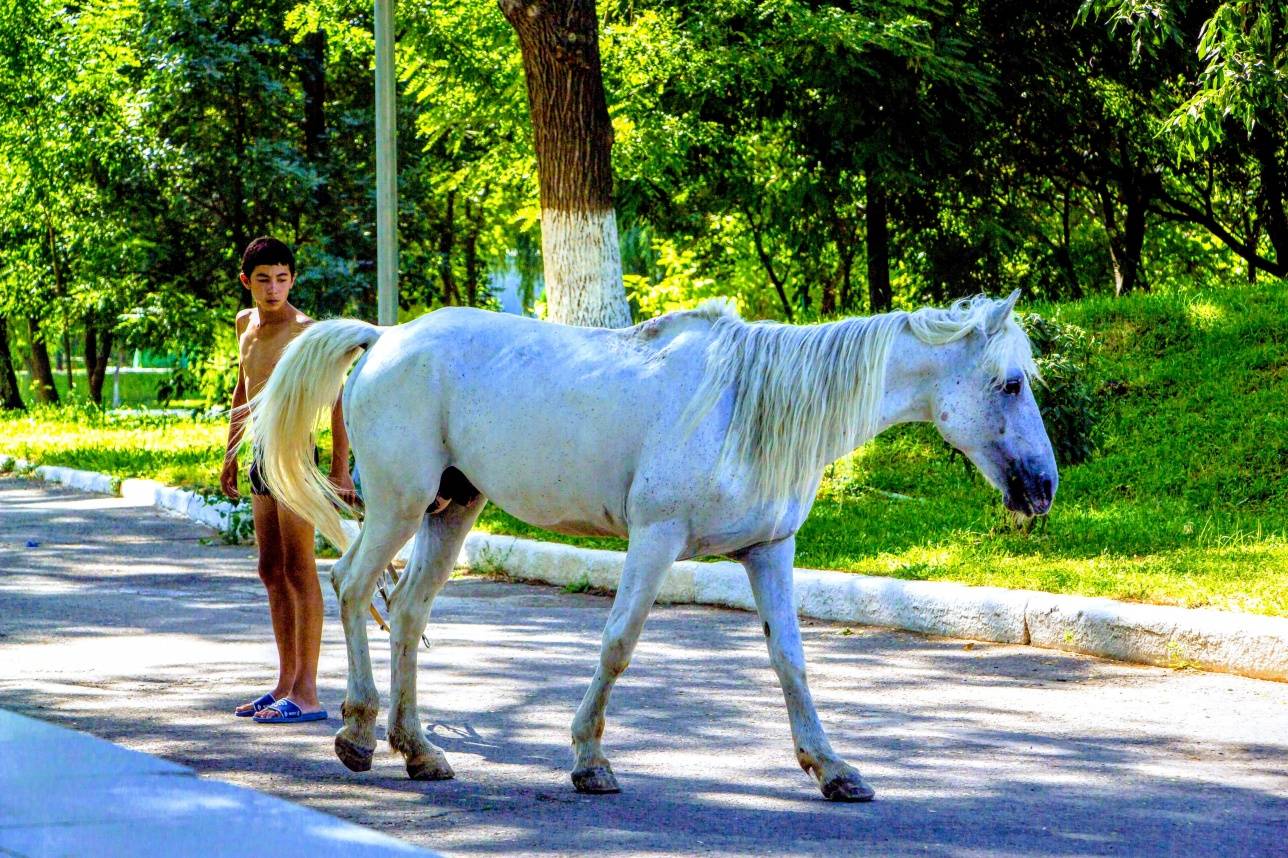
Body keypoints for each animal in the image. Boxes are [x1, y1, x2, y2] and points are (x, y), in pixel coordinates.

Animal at [251, 291, 1056, 798]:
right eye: (1011, 383)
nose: (1043, 488)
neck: (747, 406)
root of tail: (385, 338)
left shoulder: (771, 550)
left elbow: (791, 663)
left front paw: (833, 769)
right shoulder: (656, 539)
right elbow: (617, 645)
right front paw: (590, 760)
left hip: (452, 509)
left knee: (409, 612)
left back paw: (420, 751)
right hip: (399, 506)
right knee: (354, 587)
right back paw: (358, 735)